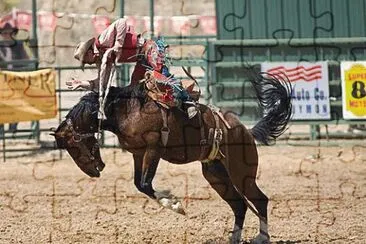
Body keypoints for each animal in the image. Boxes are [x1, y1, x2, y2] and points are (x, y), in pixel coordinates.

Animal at [52, 71, 292, 243]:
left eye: (74, 146)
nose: (93, 171)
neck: (125, 110)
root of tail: (245, 131)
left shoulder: (154, 149)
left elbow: (146, 184)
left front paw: (176, 204)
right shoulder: (138, 154)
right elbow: (140, 184)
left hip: (241, 172)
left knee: (259, 199)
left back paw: (262, 237)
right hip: (216, 175)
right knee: (240, 205)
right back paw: (235, 238)